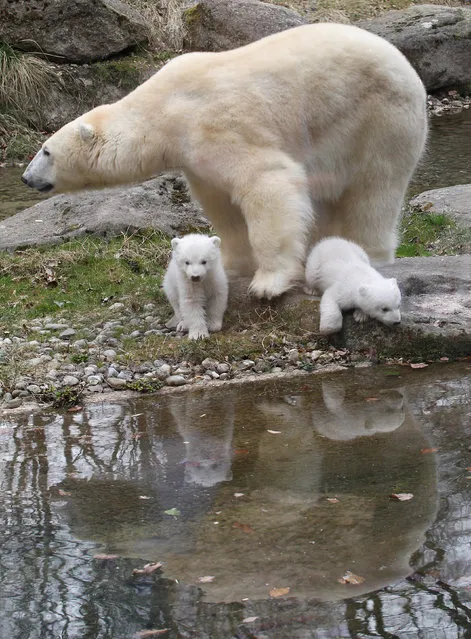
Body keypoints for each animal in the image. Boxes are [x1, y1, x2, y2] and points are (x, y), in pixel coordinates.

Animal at [21, 22, 428, 298]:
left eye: (46, 151)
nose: (26, 177)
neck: (164, 111)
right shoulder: (194, 158)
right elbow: (221, 205)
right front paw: (231, 265)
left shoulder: (215, 125)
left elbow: (268, 181)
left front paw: (268, 282)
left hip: (378, 120)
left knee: (372, 193)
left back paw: (367, 254)